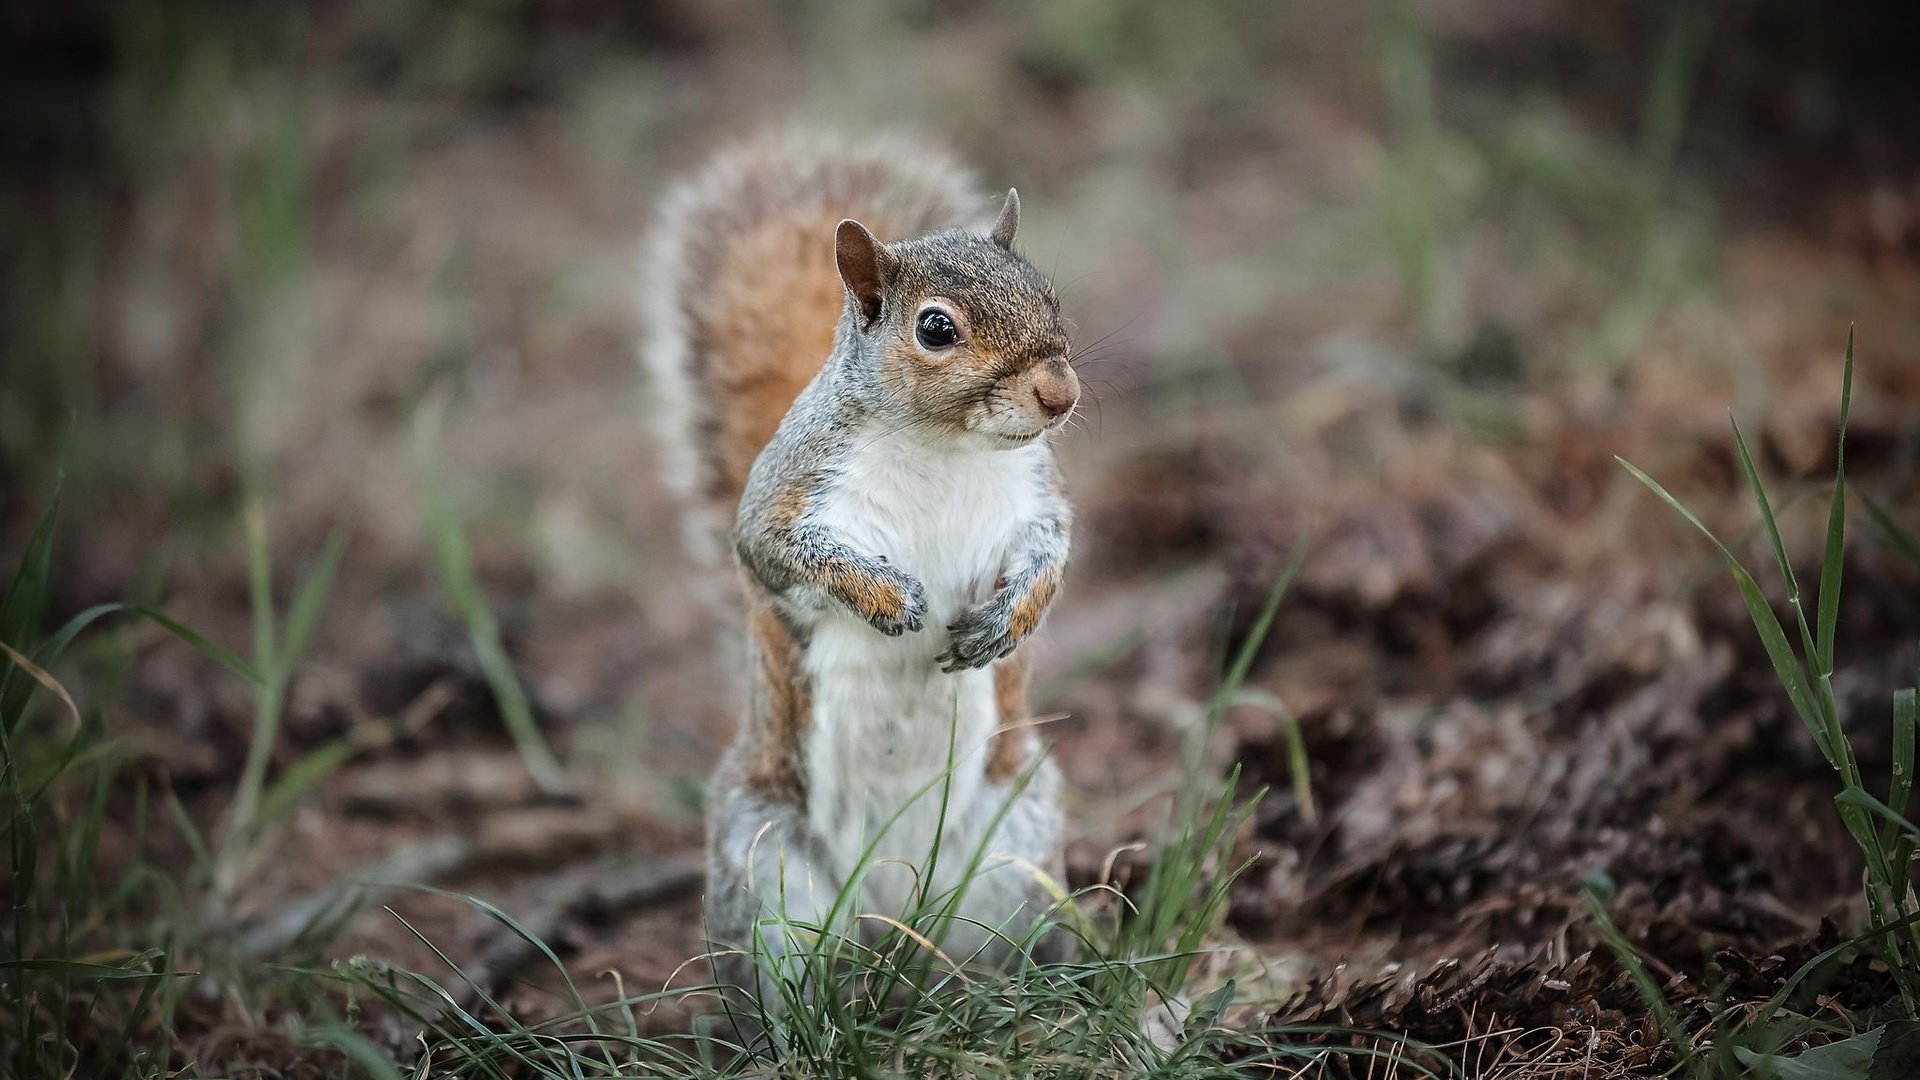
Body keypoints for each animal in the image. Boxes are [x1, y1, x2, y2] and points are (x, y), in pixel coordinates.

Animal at [645, 130, 1082, 1014]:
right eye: (936, 328)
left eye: (1048, 293)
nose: (1062, 394)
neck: (946, 447)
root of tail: (893, 910)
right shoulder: (784, 501)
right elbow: (777, 552)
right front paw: (886, 596)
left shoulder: (1036, 500)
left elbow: (1051, 557)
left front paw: (1006, 622)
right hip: (768, 864)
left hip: (1017, 842)